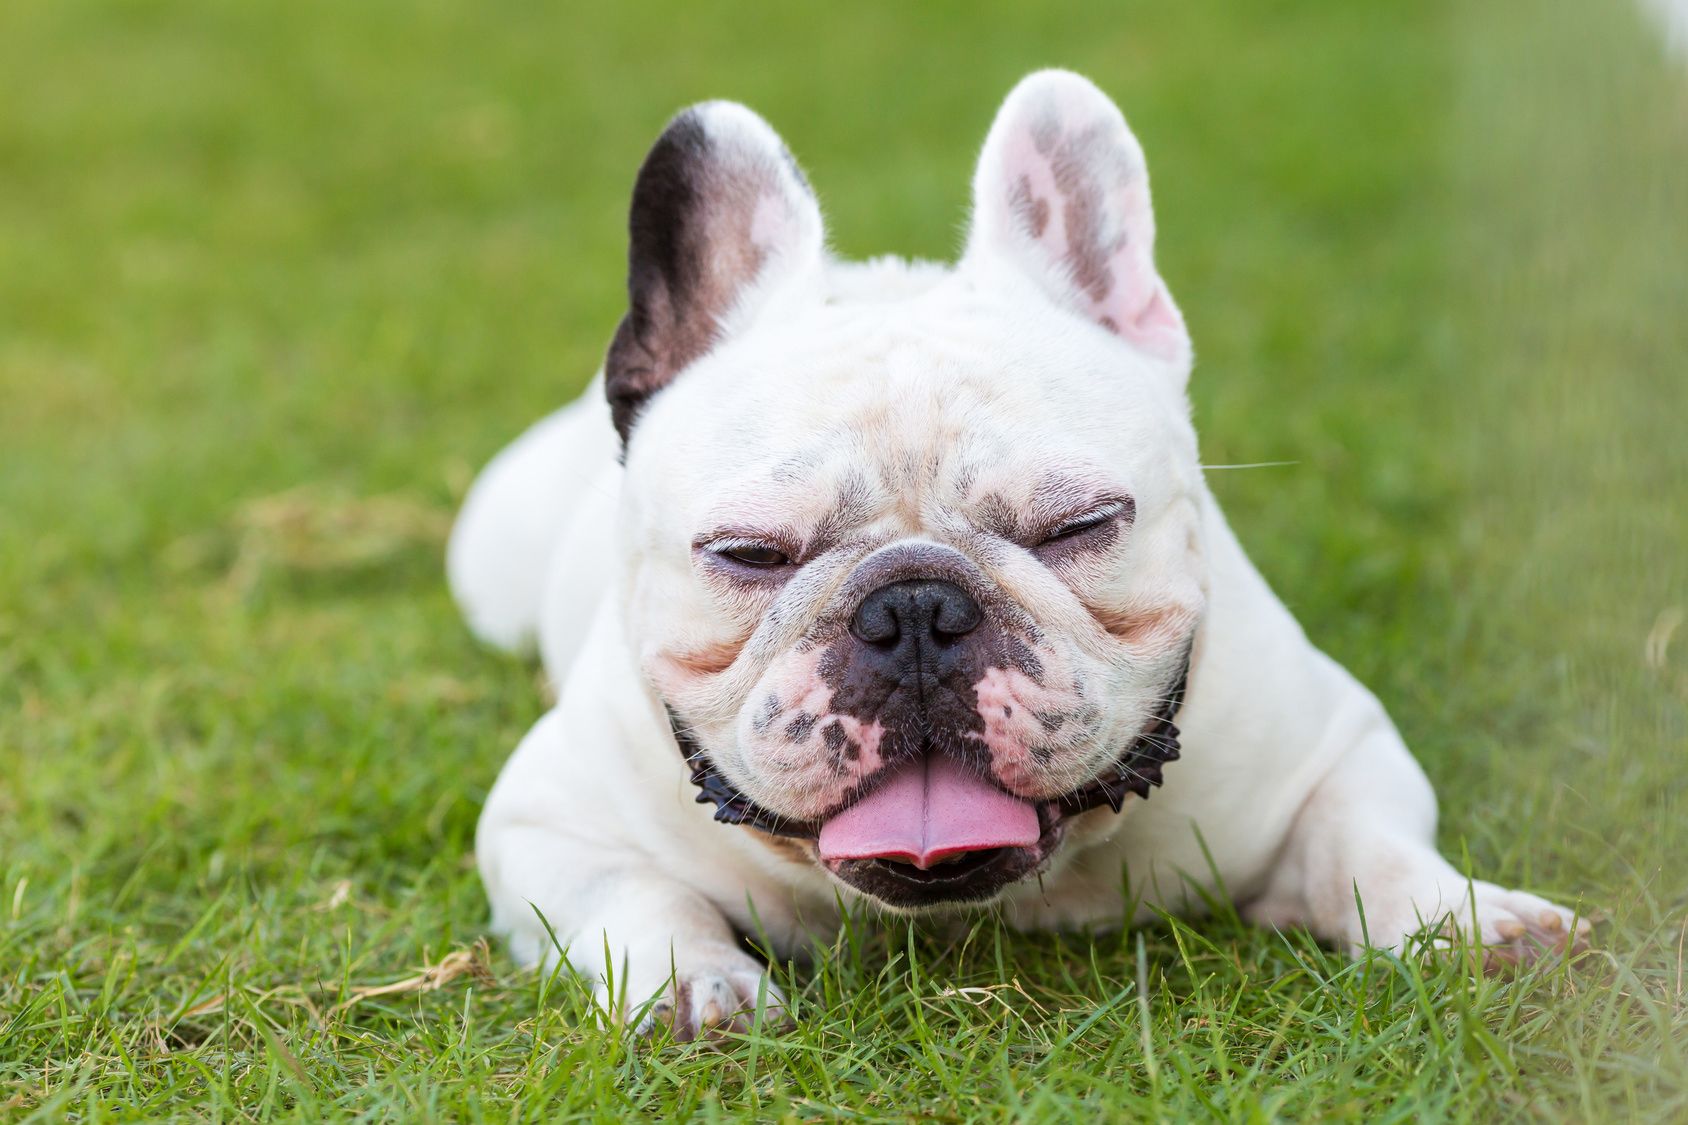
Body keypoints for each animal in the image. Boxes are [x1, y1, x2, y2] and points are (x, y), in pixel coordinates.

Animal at [445, 67, 1579, 1033]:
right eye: (749, 554)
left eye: (1078, 526)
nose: (911, 606)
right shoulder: (546, 822)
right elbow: (631, 898)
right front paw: (695, 984)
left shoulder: (1332, 748)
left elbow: (1373, 843)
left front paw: (1469, 922)